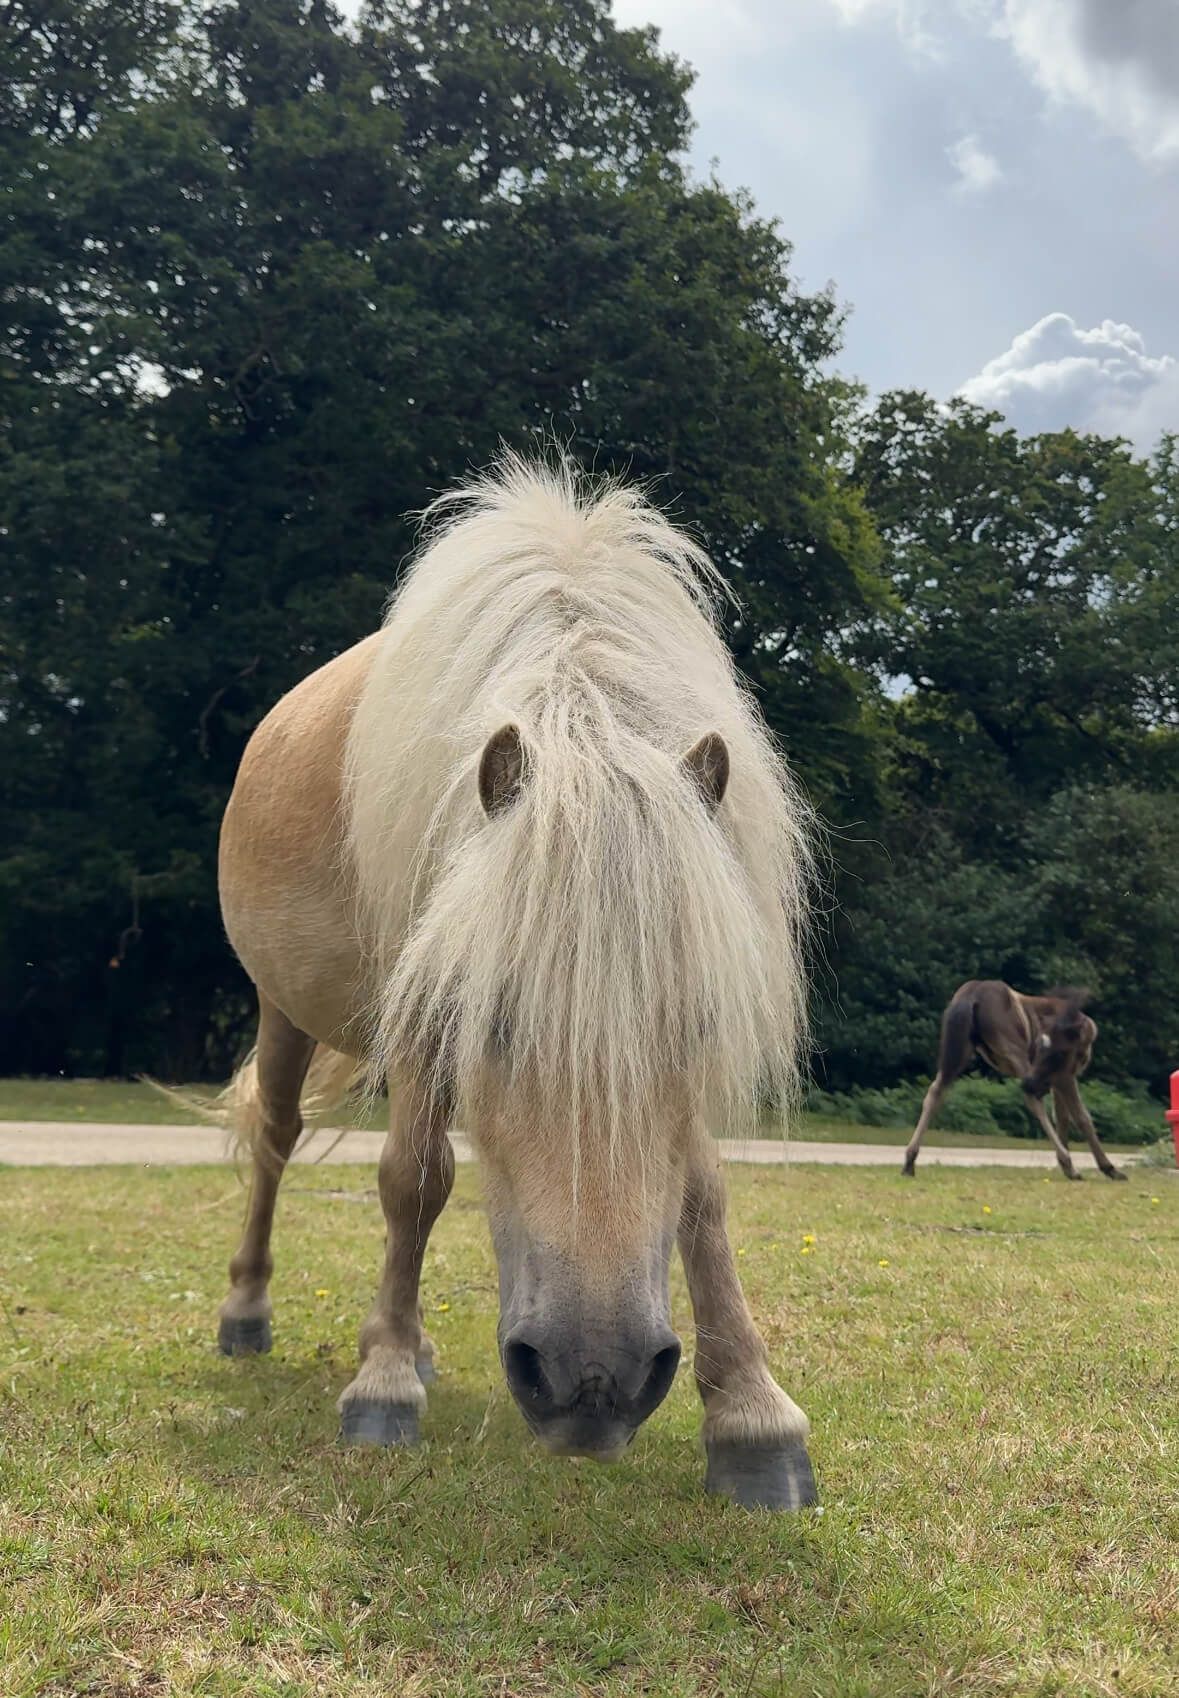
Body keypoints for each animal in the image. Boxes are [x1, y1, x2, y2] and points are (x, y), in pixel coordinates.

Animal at [214, 455, 822, 1514]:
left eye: (701, 1026)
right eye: (492, 1020)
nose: (595, 1381)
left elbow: (700, 1197)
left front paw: (753, 1418)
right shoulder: (423, 1013)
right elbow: (411, 1180)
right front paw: (381, 1393)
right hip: (284, 1009)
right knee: (279, 1139)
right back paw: (252, 1315)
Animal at [903, 984, 1128, 1181]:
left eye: (1057, 1051)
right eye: (1040, 1046)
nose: (1030, 1082)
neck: (1086, 1032)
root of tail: (970, 995)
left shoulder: (1055, 1078)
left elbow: (1062, 1116)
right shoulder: (1065, 1075)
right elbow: (1081, 1117)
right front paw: (1109, 1169)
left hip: (958, 1050)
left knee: (935, 1091)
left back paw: (909, 1162)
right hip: (1013, 1050)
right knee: (1032, 1100)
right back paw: (1070, 1164)